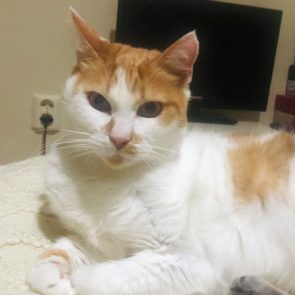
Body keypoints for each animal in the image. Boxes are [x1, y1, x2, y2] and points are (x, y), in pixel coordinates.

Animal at [26, 8, 295, 294]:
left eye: (150, 109)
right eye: (98, 102)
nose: (119, 139)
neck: (107, 180)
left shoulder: (189, 261)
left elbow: (96, 278)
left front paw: (75, 282)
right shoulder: (101, 241)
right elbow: (58, 256)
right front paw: (54, 272)